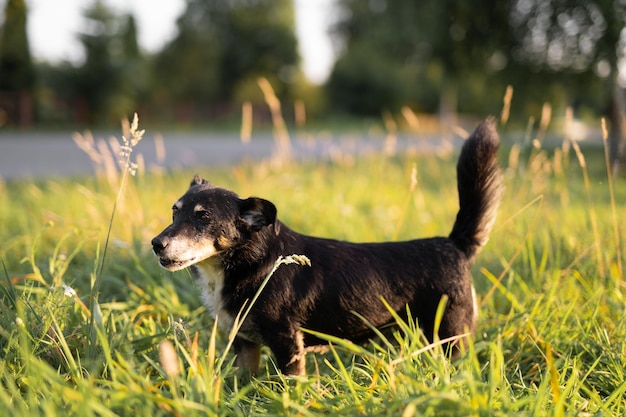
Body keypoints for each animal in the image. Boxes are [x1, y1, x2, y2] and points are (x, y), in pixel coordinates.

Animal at [151, 117, 502, 374]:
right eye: (175, 212)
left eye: (204, 217)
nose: (156, 243)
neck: (253, 263)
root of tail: (454, 245)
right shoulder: (245, 344)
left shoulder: (286, 342)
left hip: (451, 337)